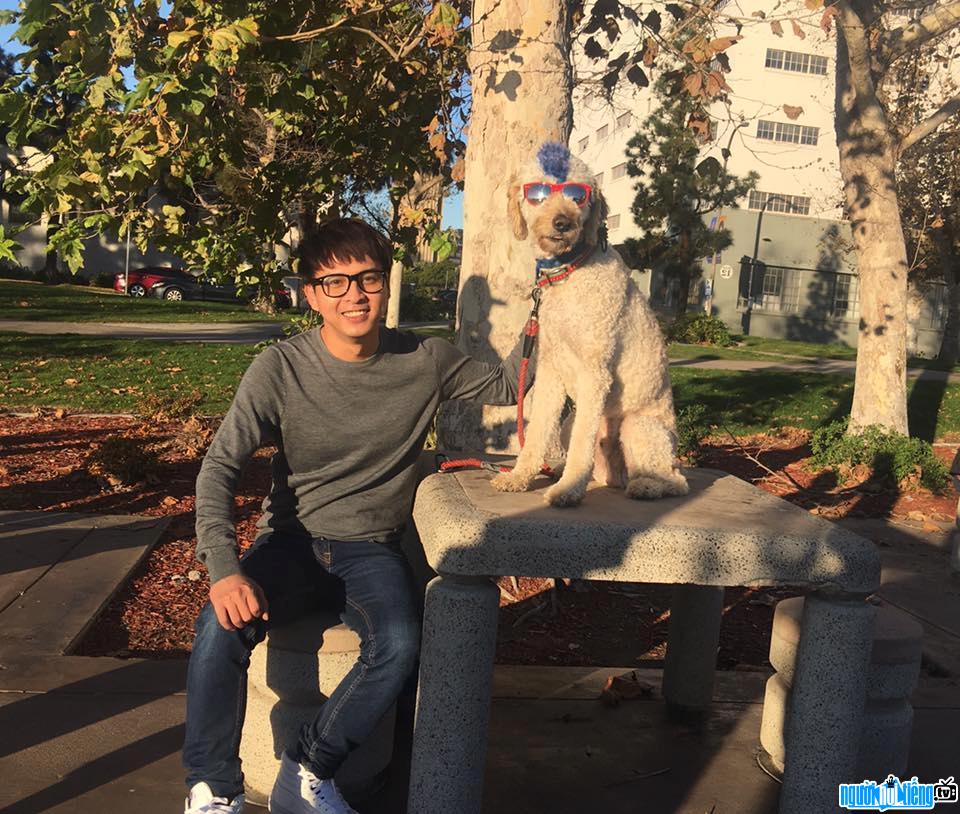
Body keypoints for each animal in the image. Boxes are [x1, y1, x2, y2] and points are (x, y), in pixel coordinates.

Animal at [492, 143, 688, 506]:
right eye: (538, 193)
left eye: (577, 196)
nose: (562, 223)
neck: (569, 272)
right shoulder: (551, 370)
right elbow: (537, 432)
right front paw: (519, 476)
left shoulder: (594, 372)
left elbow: (581, 444)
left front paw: (568, 490)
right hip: (573, 424)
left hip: (641, 428)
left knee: (675, 479)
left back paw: (647, 486)